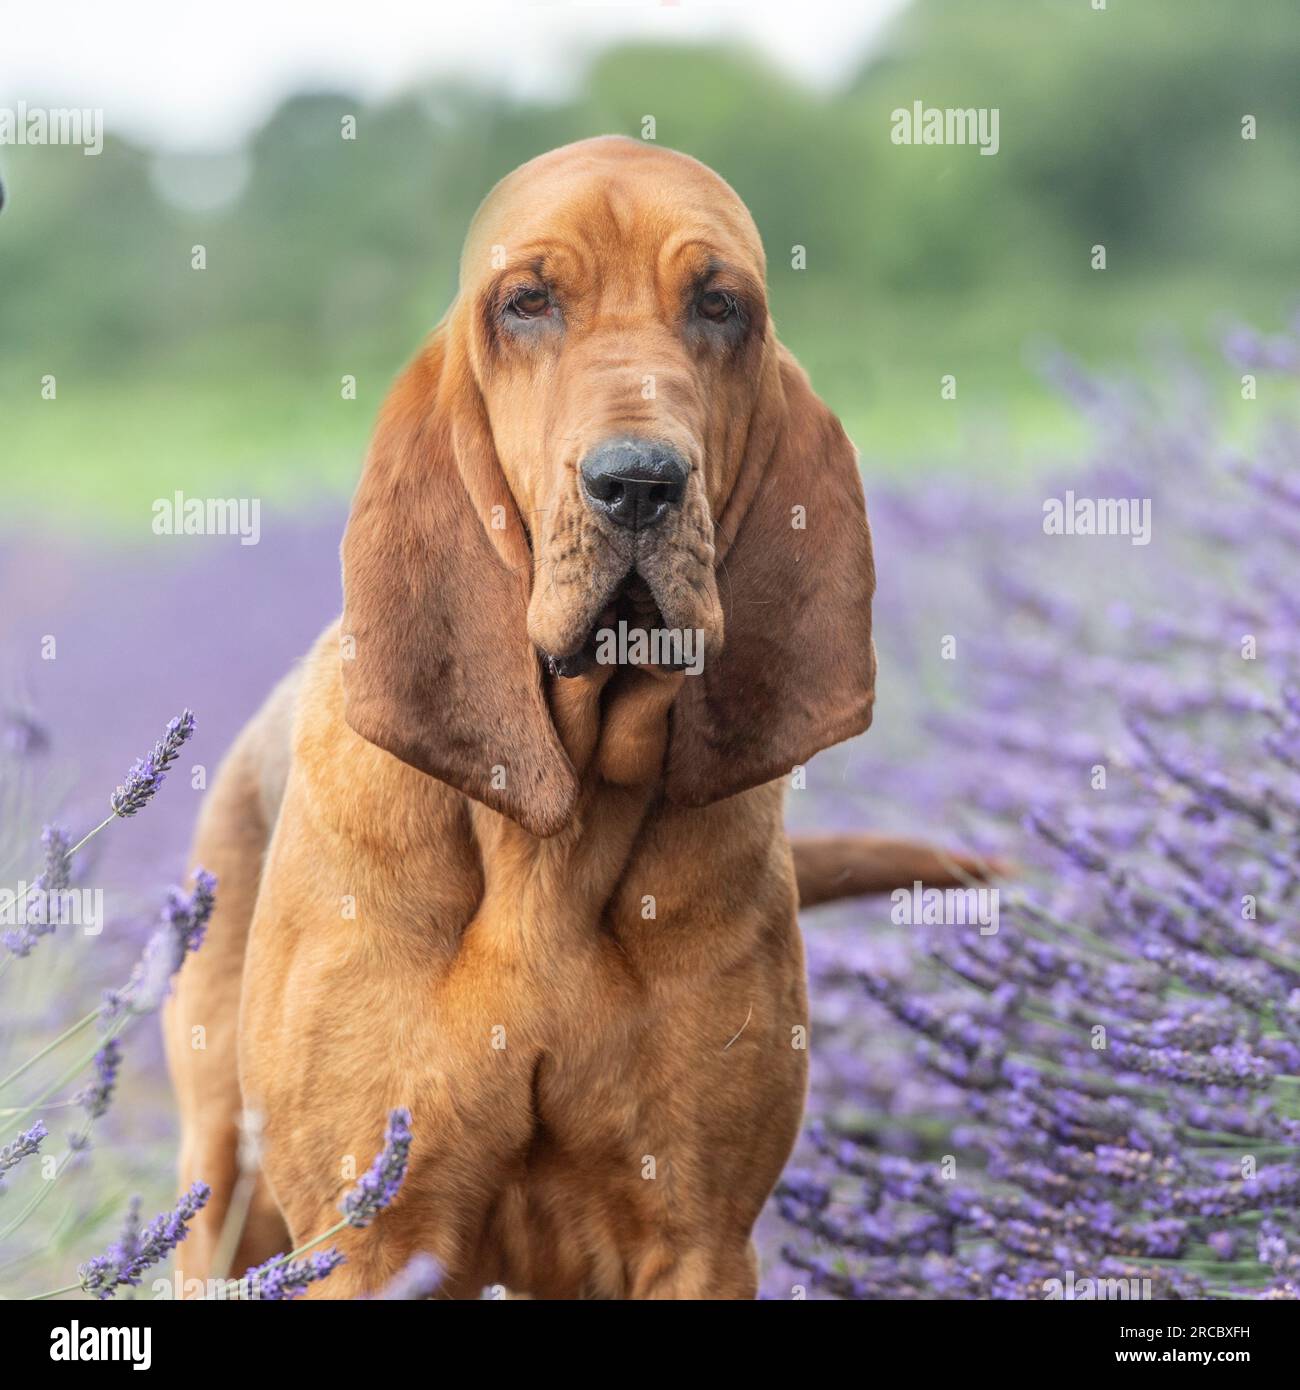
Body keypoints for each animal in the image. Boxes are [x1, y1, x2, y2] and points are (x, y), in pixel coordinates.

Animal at [165, 135, 995, 1295]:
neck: (552, 846)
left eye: (720, 304)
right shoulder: (367, 1236)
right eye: (527, 302)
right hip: (225, 1207)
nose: (638, 483)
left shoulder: (692, 1237)